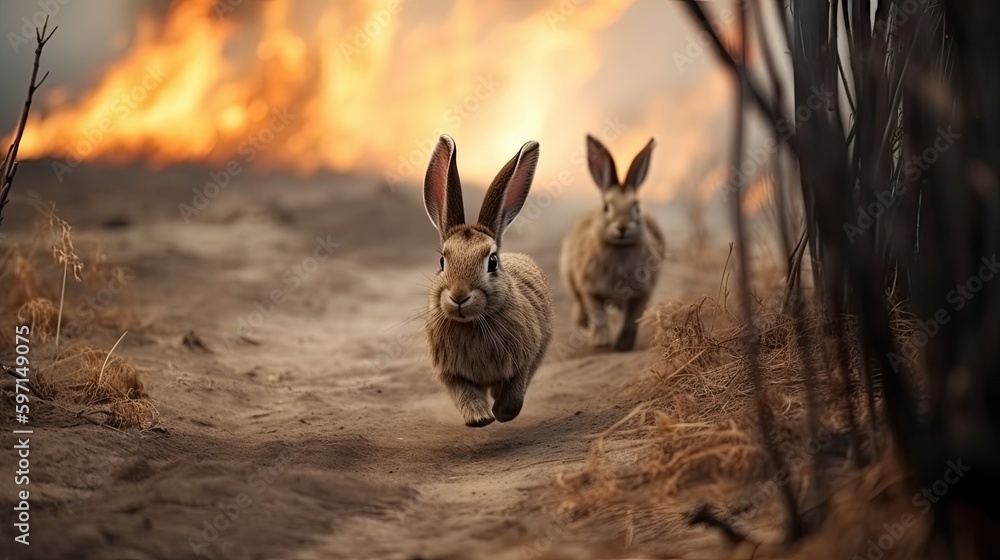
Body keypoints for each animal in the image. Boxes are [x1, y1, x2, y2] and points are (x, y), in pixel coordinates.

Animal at [422, 134, 553, 427]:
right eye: (442, 262)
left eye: (492, 261)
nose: (459, 296)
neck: (472, 323)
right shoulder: (450, 373)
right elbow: (464, 393)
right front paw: (480, 418)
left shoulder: (524, 359)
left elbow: (516, 389)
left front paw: (503, 413)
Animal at [560, 134, 665, 351]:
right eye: (607, 207)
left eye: (636, 206)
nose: (622, 228)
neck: (620, 247)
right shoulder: (591, 290)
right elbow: (598, 316)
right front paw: (601, 343)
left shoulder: (642, 293)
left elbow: (632, 319)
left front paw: (623, 345)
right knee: (579, 302)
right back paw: (582, 322)